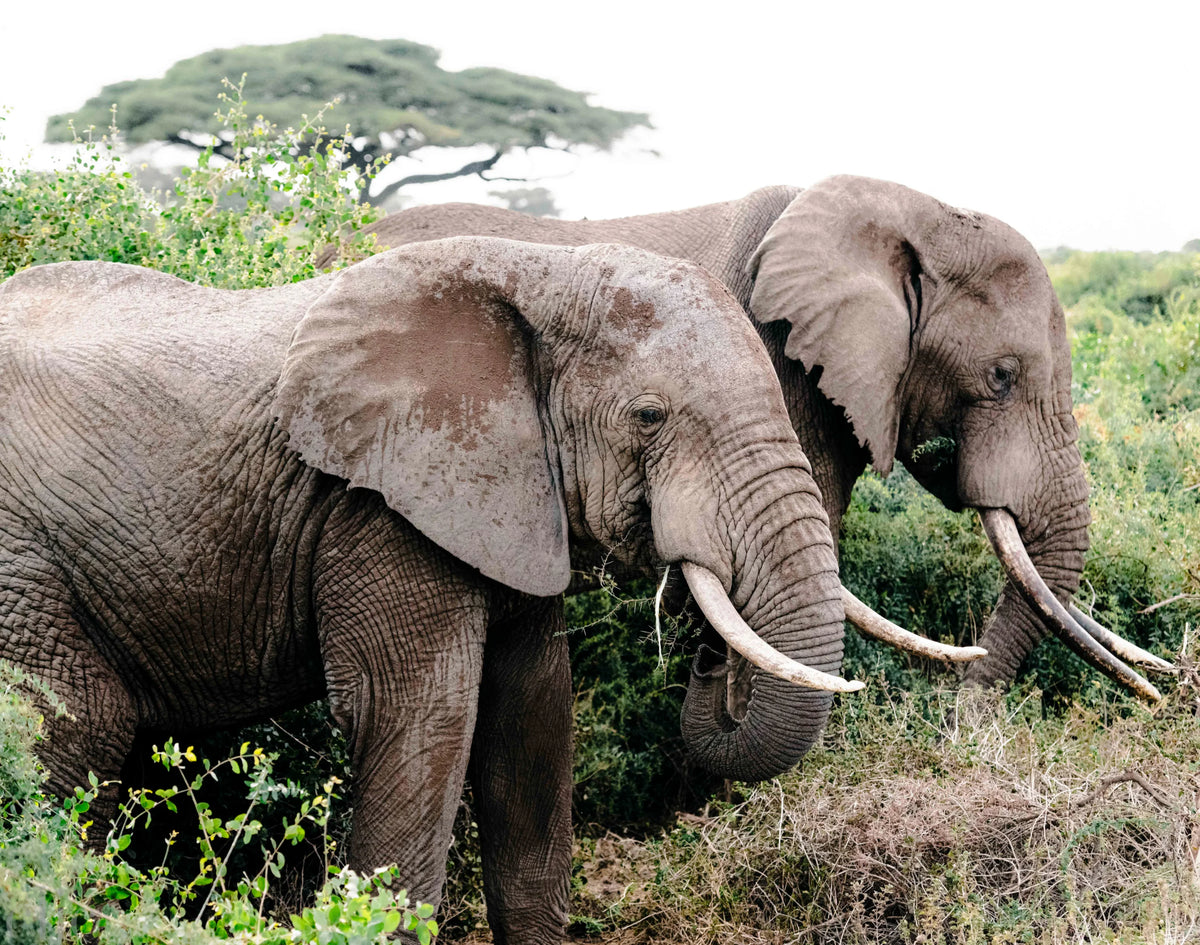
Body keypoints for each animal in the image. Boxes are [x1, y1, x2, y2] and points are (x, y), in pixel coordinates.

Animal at [0, 235, 914, 943]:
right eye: (650, 415)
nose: (704, 655)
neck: (541, 270)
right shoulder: (382, 505)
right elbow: (421, 716)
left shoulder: (509, 494)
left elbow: (533, 715)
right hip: (21, 571)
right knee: (71, 732)